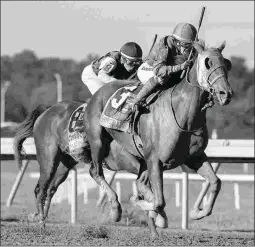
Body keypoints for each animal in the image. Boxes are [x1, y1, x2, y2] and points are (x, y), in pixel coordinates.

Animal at [83, 40, 233, 237]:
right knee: (96, 171)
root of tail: (97, 94)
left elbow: (216, 181)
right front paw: (150, 210)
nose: (225, 93)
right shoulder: (155, 159)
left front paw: (196, 212)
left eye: (226, 63)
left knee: (139, 182)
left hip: (141, 159)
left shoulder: (195, 157)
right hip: (98, 141)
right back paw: (115, 209)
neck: (183, 114)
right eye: (207, 63)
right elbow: (159, 202)